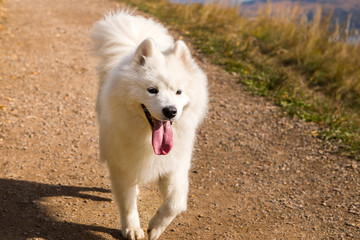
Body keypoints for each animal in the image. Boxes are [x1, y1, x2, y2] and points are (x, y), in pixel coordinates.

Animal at [90, 9, 208, 240]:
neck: (147, 138)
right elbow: (127, 202)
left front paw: (155, 227)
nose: (170, 111)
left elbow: (175, 202)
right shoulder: (124, 166)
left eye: (179, 92)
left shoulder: (175, 165)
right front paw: (133, 229)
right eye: (152, 90)